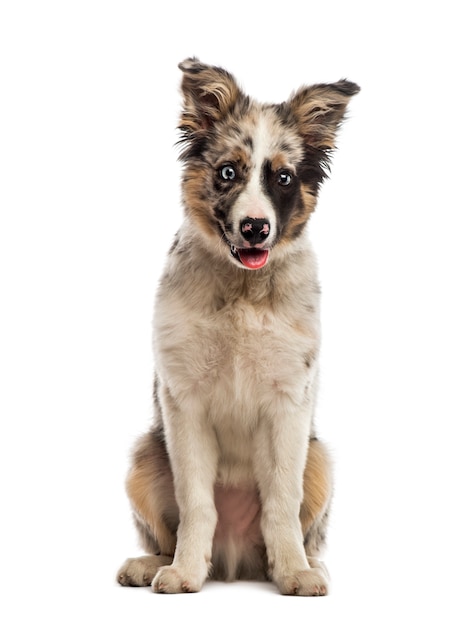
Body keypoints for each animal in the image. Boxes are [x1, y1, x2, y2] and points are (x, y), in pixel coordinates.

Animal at [117, 58, 358, 596]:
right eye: (229, 172)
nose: (255, 228)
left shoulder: (289, 403)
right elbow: (196, 503)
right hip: (144, 456)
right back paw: (151, 564)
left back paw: (308, 565)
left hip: (320, 462)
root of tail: (234, 560)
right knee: (169, 530)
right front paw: (184, 572)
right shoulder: (183, 401)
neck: (244, 293)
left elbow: (282, 502)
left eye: (284, 178)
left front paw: (294, 573)